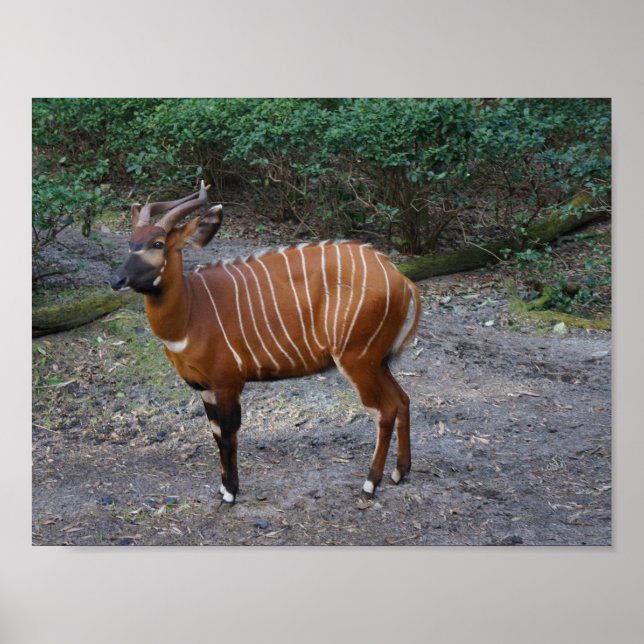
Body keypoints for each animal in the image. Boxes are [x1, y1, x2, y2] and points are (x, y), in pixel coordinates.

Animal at [110, 183, 421, 505]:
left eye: (158, 243)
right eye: (131, 242)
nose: (116, 279)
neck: (192, 311)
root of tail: (401, 278)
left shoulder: (228, 383)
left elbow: (228, 434)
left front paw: (230, 493)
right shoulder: (205, 388)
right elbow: (215, 433)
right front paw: (223, 487)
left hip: (358, 360)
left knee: (384, 410)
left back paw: (370, 484)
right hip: (377, 361)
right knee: (402, 399)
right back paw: (400, 473)